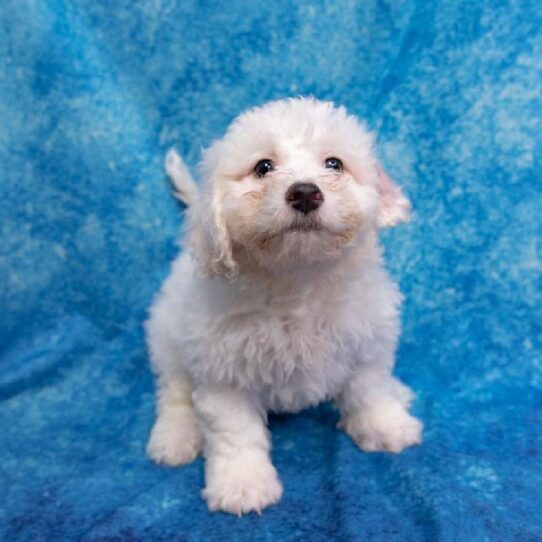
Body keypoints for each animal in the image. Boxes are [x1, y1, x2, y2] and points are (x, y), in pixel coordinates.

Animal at [146, 98, 424, 520]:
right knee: (174, 392)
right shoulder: (223, 371)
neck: (298, 280)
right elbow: (235, 433)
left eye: (334, 164)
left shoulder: (367, 338)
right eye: (263, 167)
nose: (305, 193)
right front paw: (242, 485)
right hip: (168, 337)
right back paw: (175, 437)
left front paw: (386, 427)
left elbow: (369, 388)